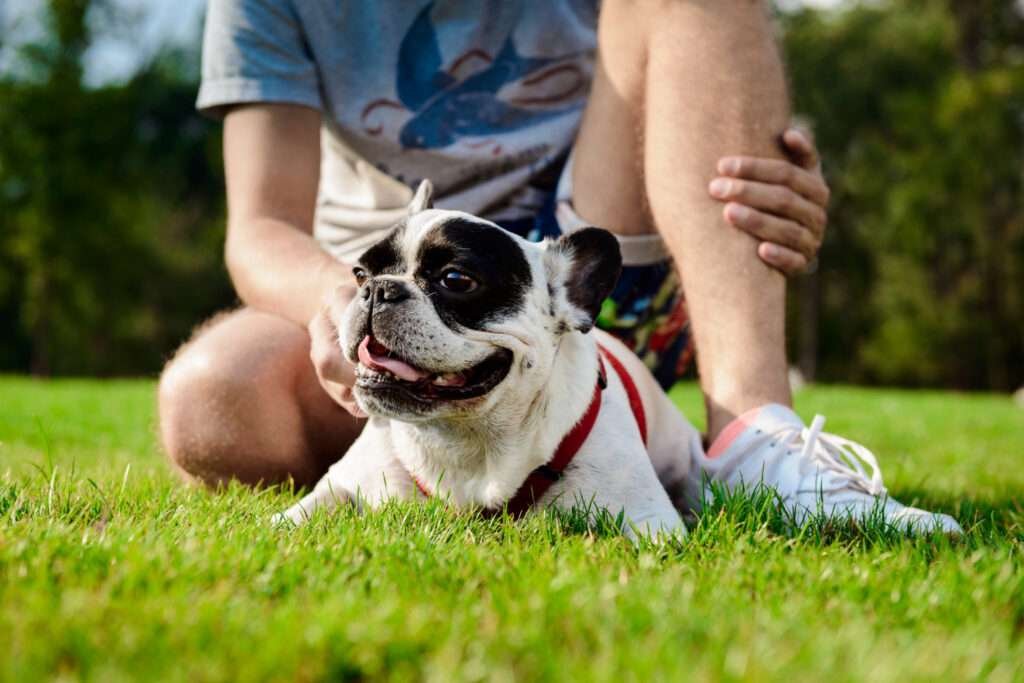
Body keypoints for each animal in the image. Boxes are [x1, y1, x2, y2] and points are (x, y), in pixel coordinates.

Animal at [272, 181, 704, 540]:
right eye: (360, 274)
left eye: (455, 280)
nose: (379, 289)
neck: (464, 436)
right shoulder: (342, 483)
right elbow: (292, 519)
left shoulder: (648, 520)